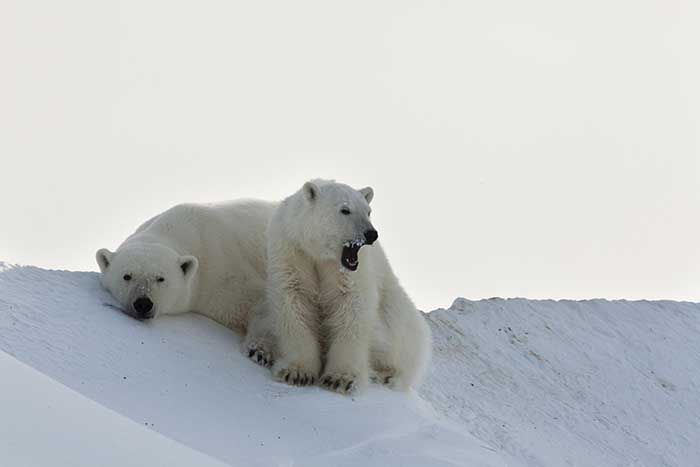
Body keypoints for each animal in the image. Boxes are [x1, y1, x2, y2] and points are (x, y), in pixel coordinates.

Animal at [246, 179, 432, 394]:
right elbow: (294, 302)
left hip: (397, 310)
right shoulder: (292, 251)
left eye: (368, 211)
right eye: (345, 210)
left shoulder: (351, 272)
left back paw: (384, 375)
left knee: (401, 339)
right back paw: (260, 350)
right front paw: (297, 372)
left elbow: (351, 308)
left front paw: (340, 379)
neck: (319, 253)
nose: (371, 234)